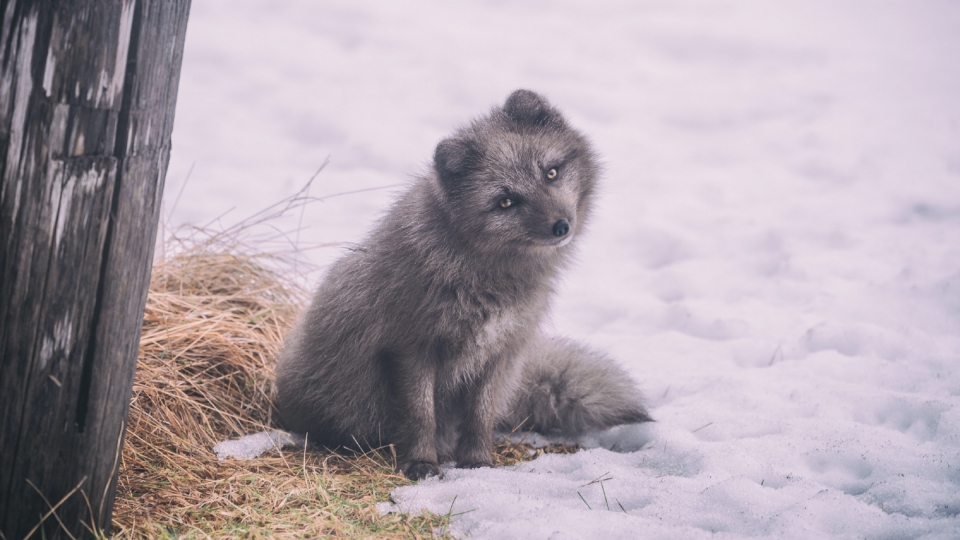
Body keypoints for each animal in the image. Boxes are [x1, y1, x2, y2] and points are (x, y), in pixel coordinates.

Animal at [278, 89, 652, 480]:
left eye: (551, 172)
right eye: (505, 201)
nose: (561, 226)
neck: (484, 278)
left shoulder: (498, 352)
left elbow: (480, 416)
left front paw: (478, 463)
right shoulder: (412, 348)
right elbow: (420, 415)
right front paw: (421, 463)